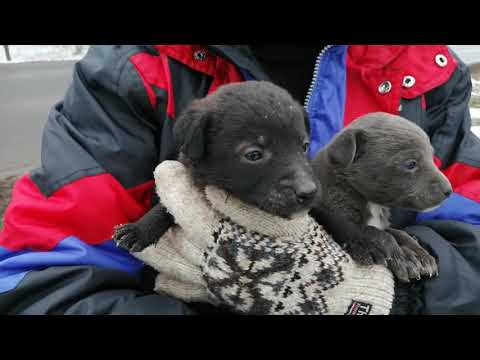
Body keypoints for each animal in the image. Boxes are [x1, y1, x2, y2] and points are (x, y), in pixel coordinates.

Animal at [314, 112, 452, 282]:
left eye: (432, 157)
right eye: (411, 164)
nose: (449, 190)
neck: (373, 204)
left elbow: (398, 233)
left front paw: (419, 254)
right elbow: (364, 229)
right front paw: (393, 254)